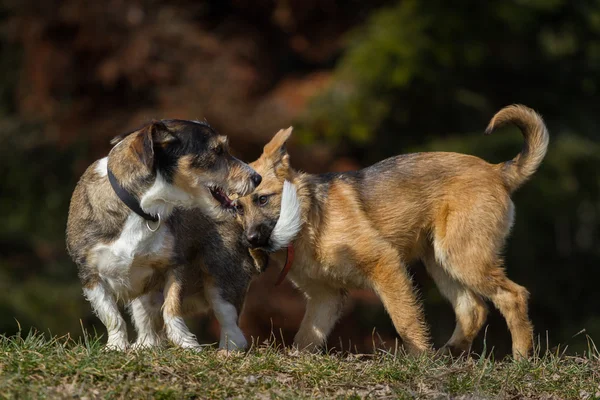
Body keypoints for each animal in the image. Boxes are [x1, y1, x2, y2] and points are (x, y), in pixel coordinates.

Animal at [67, 119, 262, 350]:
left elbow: (172, 308)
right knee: (146, 323)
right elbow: (111, 315)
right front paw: (116, 347)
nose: (257, 178)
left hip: (222, 279)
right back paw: (144, 346)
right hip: (143, 299)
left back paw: (227, 351)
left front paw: (187, 344)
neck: (141, 209)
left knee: (232, 327)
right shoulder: (90, 275)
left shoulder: (174, 265)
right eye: (217, 150)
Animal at [233, 104, 548, 360]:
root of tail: (497, 171)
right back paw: (449, 353)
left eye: (262, 199)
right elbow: (305, 338)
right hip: (440, 261)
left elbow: (405, 319)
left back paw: (520, 358)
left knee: (514, 295)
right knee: (473, 309)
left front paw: (419, 360)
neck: (310, 221)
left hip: (463, 257)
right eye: (236, 207)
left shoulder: (385, 265)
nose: (250, 240)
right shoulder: (325, 297)